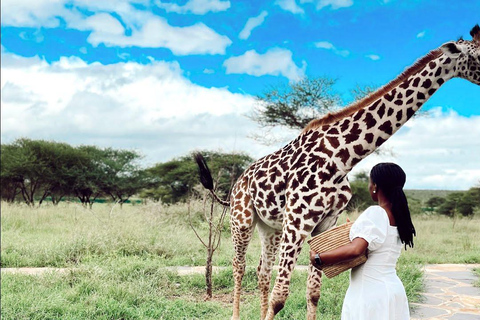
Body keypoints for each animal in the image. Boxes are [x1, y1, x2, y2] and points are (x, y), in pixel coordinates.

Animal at [193, 23, 478, 318]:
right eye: (478, 55)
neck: (342, 157)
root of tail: (238, 183)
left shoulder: (324, 223)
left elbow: (313, 292)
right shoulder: (297, 221)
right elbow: (280, 297)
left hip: (269, 227)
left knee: (262, 271)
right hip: (242, 220)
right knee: (239, 267)